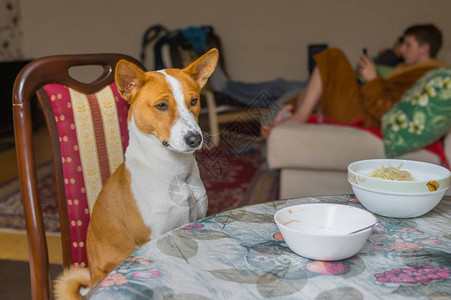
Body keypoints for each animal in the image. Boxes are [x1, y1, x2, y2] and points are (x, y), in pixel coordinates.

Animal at [53, 48, 219, 298]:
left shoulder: (196, 221)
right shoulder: (156, 236)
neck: (175, 172)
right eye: (162, 106)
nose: (195, 139)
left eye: (194, 101)